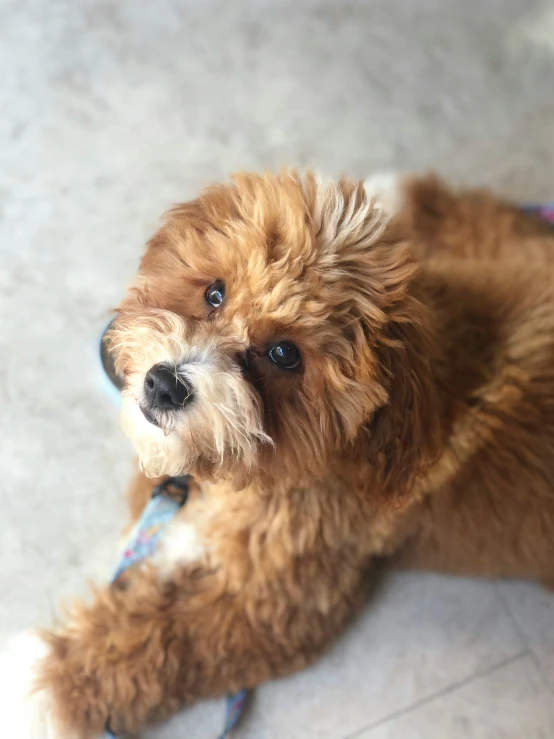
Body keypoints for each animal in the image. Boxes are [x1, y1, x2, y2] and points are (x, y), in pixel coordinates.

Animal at [3, 171, 552, 736]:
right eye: (215, 293)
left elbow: (167, 638)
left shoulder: (278, 609)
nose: (164, 385)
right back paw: (397, 197)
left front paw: (42, 684)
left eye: (284, 353)